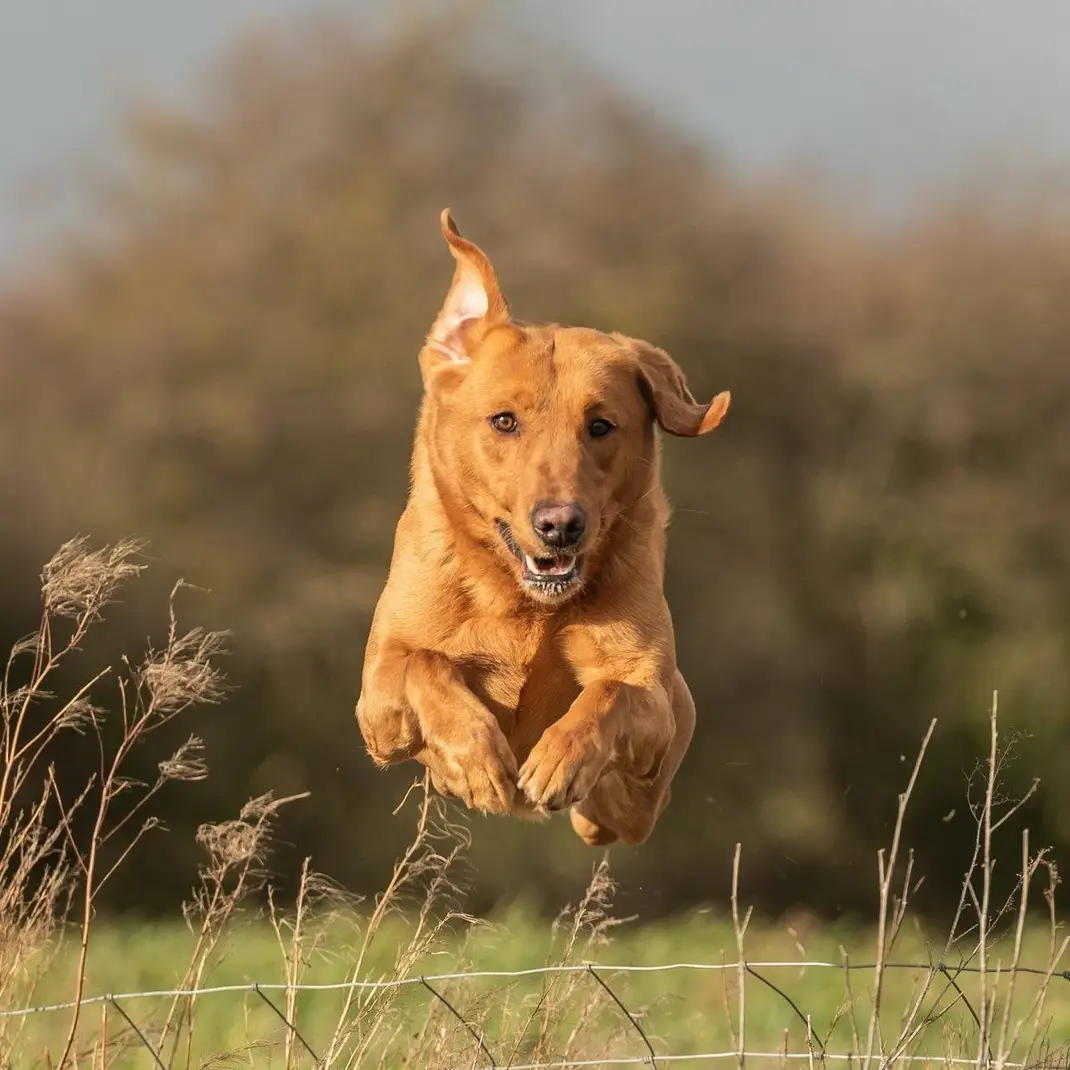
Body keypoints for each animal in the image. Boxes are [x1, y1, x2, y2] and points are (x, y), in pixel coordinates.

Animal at [355, 208, 731, 843]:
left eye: (601, 425)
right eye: (504, 421)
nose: (561, 525)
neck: (524, 606)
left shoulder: (652, 695)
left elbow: (610, 691)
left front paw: (560, 758)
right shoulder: (377, 699)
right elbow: (425, 663)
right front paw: (475, 760)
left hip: (642, 782)